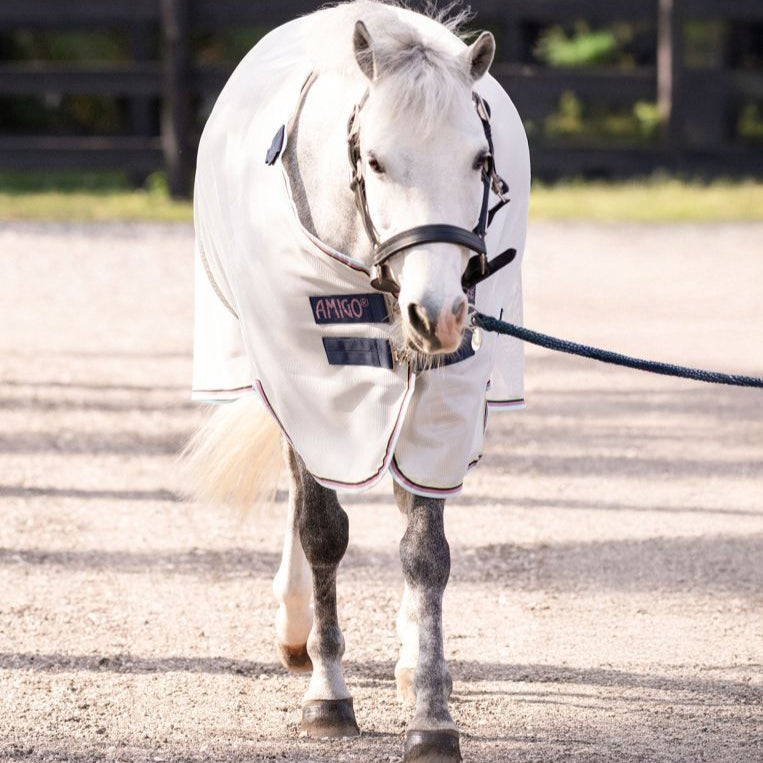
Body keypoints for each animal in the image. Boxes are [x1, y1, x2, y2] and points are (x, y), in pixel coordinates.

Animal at [184, 2, 530, 760]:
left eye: (480, 160)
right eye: (375, 160)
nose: (438, 312)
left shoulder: (443, 393)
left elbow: (425, 551)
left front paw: (431, 708)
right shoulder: (306, 376)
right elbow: (321, 530)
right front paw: (327, 693)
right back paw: (297, 634)